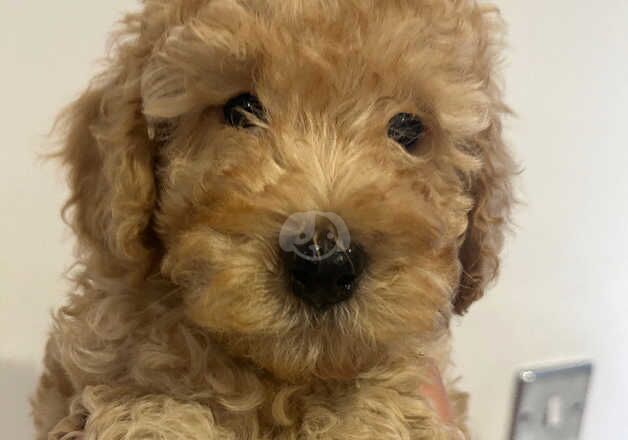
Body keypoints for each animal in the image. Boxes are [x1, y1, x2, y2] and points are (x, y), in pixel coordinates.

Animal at [31, 1, 516, 438]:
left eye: (408, 130)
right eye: (240, 109)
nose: (324, 265)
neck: (280, 379)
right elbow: (154, 385)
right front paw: (165, 414)